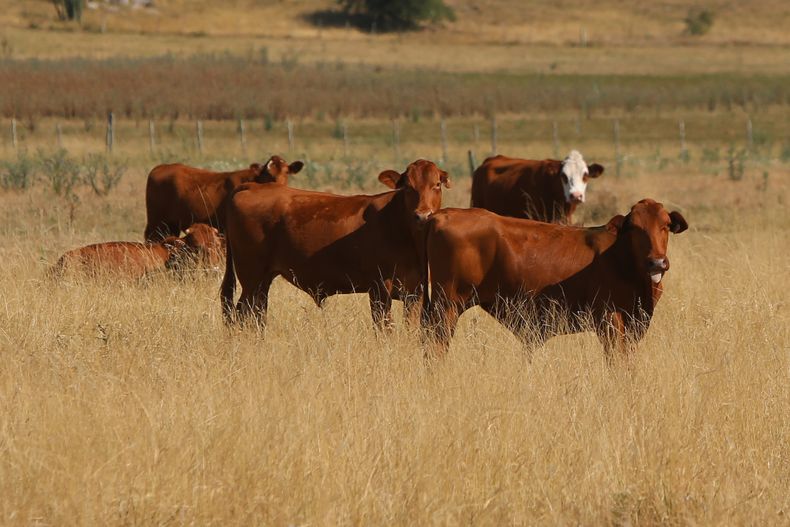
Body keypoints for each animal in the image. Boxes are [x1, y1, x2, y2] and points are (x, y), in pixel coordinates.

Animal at [144, 155, 304, 241]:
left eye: (286, 172)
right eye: (268, 173)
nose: (277, 185)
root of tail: (161, 167)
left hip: (171, 225)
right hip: (157, 223)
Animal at [221, 159, 451, 330]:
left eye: (437, 184)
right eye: (408, 187)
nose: (422, 215)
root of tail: (252, 187)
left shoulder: (415, 291)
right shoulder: (378, 289)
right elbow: (384, 329)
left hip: (262, 280)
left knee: (257, 314)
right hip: (252, 278)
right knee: (242, 314)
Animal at [421, 199, 688, 361]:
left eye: (666, 226)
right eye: (634, 228)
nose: (657, 262)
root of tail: (442, 215)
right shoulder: (610, 319)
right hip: (447, 307)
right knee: (435, 348)